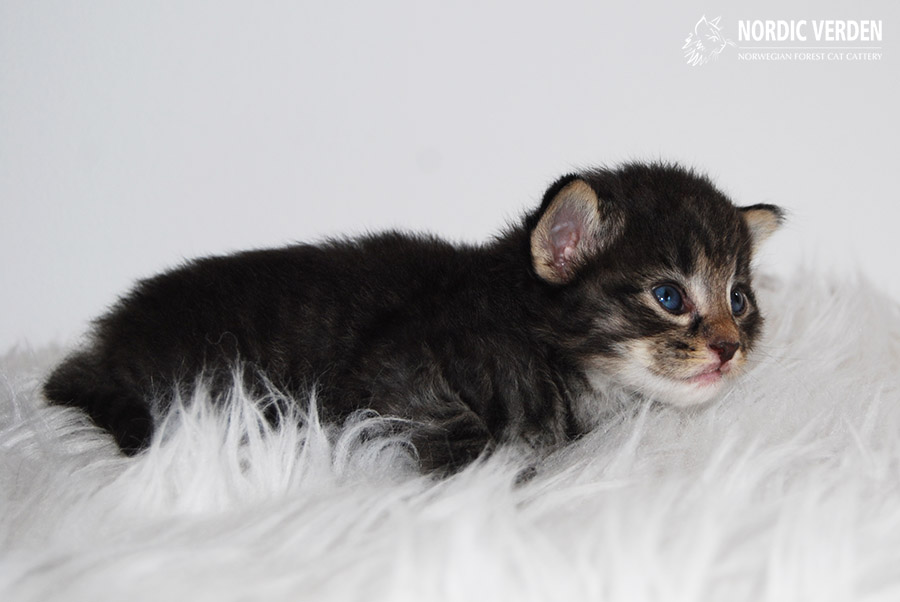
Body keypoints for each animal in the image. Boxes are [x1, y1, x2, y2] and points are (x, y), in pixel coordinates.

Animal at [44, 162, 783, 474]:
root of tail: (107, 337)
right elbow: (462, 430)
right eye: (669, 297)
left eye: (738, 301)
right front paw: (490, 478)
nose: (728, 348)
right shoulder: (397, 366)